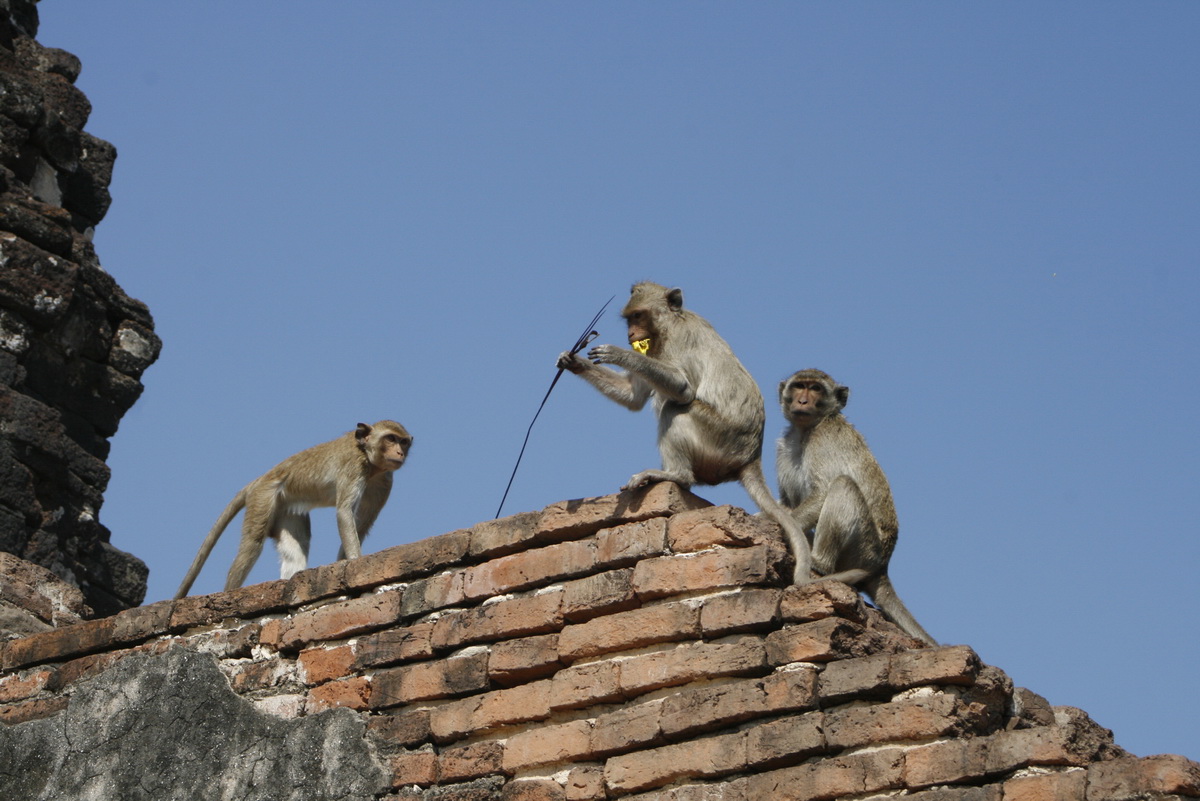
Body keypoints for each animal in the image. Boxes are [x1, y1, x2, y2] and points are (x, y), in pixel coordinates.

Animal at [174, 420, 412, 599]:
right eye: (390, 438)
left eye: (403, 442)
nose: (400, 452)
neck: (370, 462)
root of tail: (259, 480)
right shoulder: (353, 465)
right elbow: (344, 513)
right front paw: (355, 561)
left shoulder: (385, 481)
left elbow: (362, 525)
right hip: (263, 498)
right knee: (252, 542)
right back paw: (229, 591)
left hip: (286, 510)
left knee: (297, 547)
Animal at [557, 281, 814, 583]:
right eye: (630, 318)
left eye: (638, 316)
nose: (630, 334)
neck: (670, 322)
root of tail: (751, 457)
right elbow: (633, 397)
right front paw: (572, 361)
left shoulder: (675, 341)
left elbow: (682, 389)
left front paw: (619, 353)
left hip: (719, 440)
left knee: (674, 409)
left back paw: (674, 475)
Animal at [776, 369, 937, 645]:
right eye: (799, 386)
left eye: (815, 389)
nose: (802, 401)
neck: (807, 429)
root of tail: (881, 566)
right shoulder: (784, 447)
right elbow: (786, 503)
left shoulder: (824, 440)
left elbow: (822, 492)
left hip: (863, 550)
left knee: (843, 485)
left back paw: (819, 562)